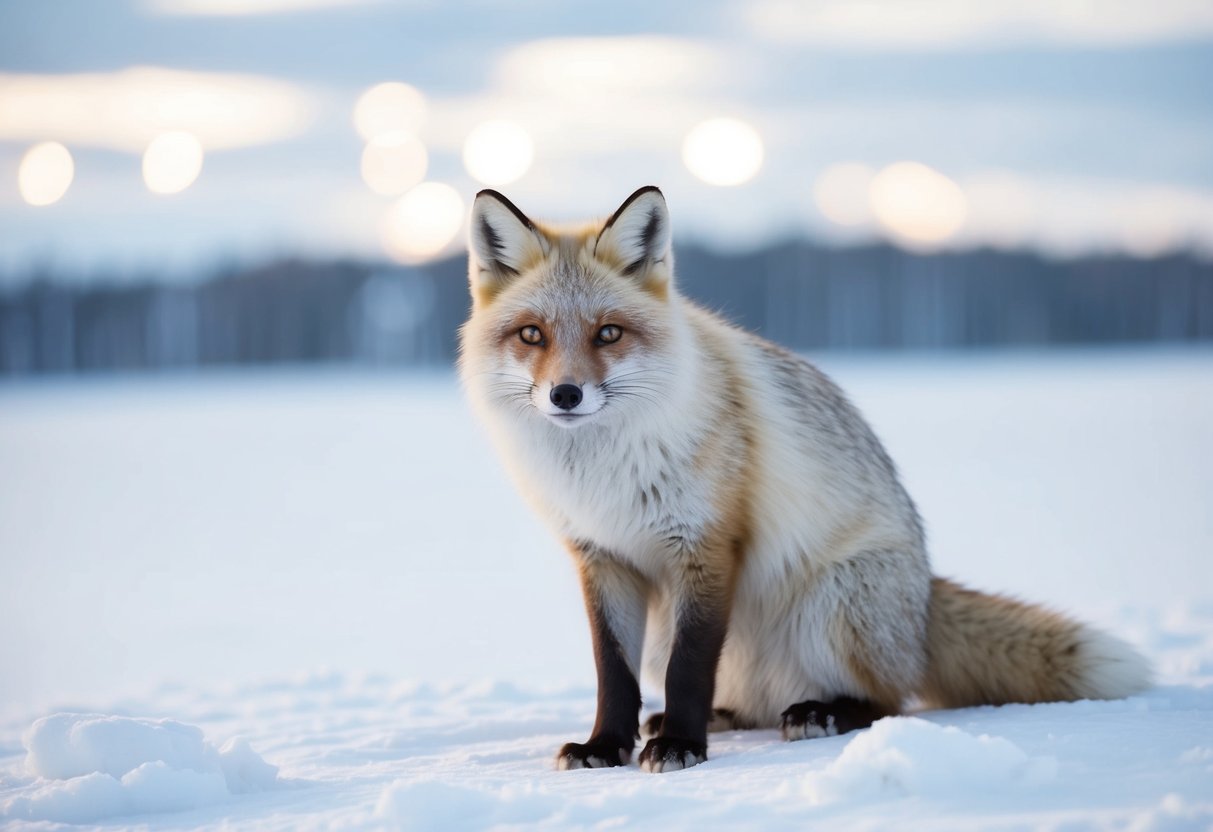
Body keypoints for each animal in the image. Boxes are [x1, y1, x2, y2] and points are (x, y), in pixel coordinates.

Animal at [458, 185, 1152, 774]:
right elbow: (614, 673)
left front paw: (681, 746)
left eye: (608, 333)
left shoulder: (707, 547)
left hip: (834, 605)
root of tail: (925, 595)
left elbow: (689, 666)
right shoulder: (603, 557)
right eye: (532, 334)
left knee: (891, 700)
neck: (603, 472)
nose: (566, 395)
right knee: (754, 701)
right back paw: (722, 716)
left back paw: (819, 713)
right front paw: (606, 745)